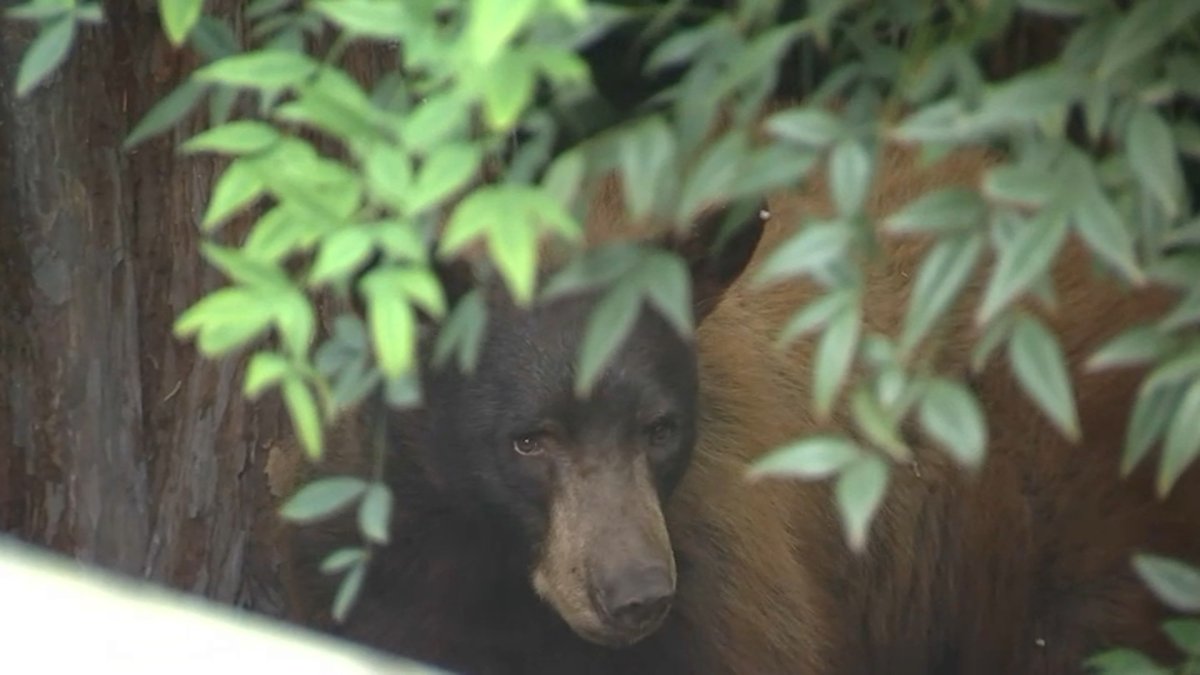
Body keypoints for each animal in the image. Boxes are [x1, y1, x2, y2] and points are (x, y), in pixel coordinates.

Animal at [273, 137, 1200, 675]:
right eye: (529, 441)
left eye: (661, 429)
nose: (637, 594)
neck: (489, 572)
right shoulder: (375, 585)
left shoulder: (730, 597)